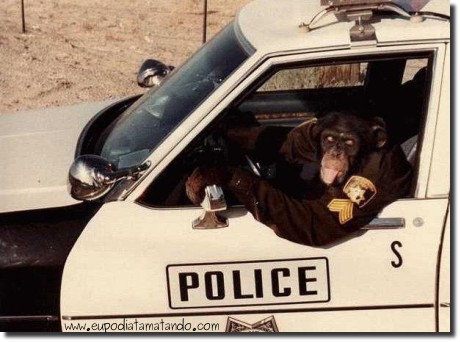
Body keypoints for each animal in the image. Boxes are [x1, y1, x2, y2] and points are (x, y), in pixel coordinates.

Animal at [185, 111, 412, 247]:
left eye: (349, 143)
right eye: (330, 139)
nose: (335, 153)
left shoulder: (369, 178)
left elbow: (310, 222)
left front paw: (215, 173)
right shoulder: (313, 134)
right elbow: (288, 141)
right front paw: (223, 124)